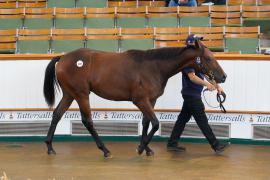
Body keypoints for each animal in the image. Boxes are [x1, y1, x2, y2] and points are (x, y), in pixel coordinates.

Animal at [43, 37, 227, 158]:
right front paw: (141, 148)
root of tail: (63, 58)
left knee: (57, 114)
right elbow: (155, 123)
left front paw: (146, 148)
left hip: (69, 94)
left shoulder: (150, 100)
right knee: (87, 121)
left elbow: (146, 122)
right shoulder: (140, 100)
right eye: (209, 58)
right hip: (81, 95)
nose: (223, 77)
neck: (153, 67)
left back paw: (50, 147)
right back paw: (105, 150)